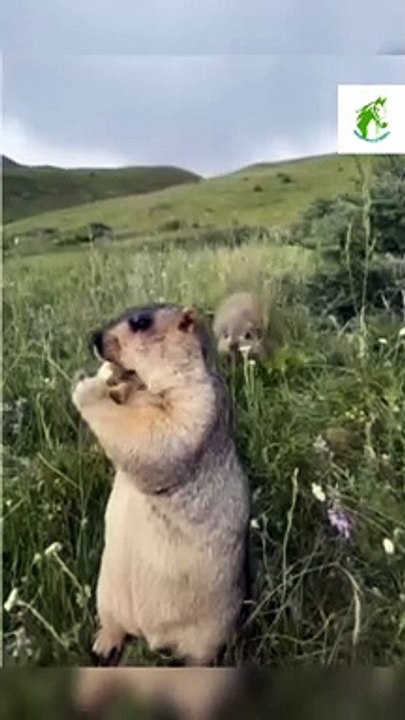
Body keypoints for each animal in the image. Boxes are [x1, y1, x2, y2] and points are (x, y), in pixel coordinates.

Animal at [71, 303, 251, 666]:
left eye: (141, 322)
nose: (93, 337)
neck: (143, 386)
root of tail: (150, 635)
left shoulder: (196, 400)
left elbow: (157, 432)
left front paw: (89, 385)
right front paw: (107, 377)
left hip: (211, 634)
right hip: (105, 593)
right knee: (114, 626)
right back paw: (103, 645)